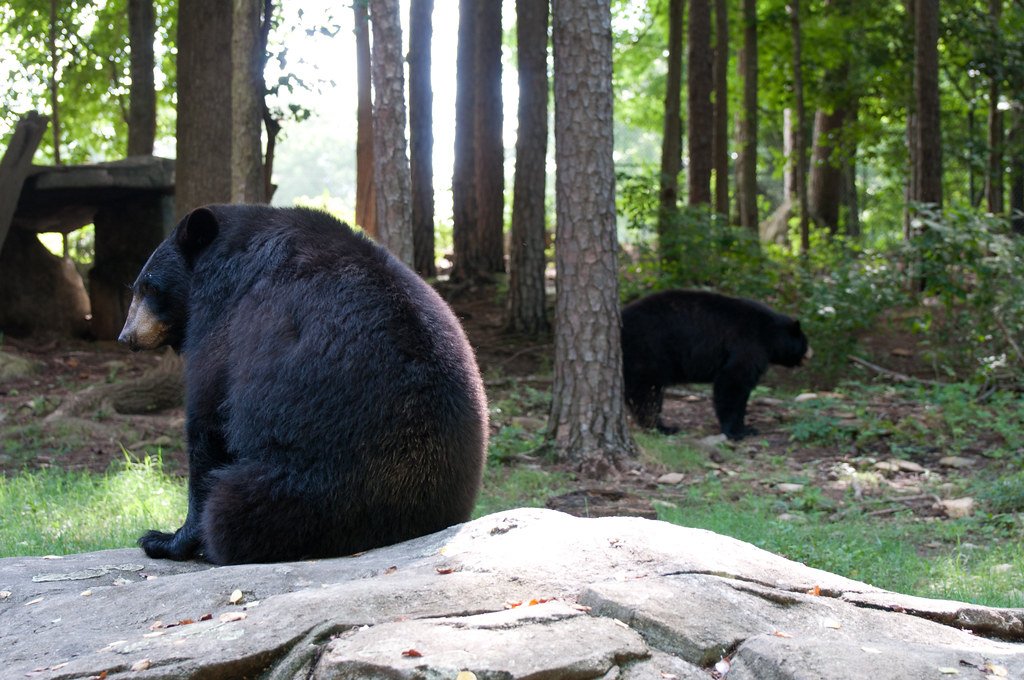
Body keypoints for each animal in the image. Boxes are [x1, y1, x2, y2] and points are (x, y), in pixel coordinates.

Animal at [118, 204, 489, 565]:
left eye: (149, 287)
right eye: (136, 287)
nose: (126, 337)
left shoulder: (222, 318)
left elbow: (208, 420)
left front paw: (165, 539)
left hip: (308, 487)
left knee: (235, 505)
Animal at [620, 289, 810, 440]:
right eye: (804, 341)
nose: (810, 353)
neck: (769, 333)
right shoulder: (748, 343)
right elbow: (732, 381)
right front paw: (740, 431)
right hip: (648, 351)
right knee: (647, 392)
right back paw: (662, 427)